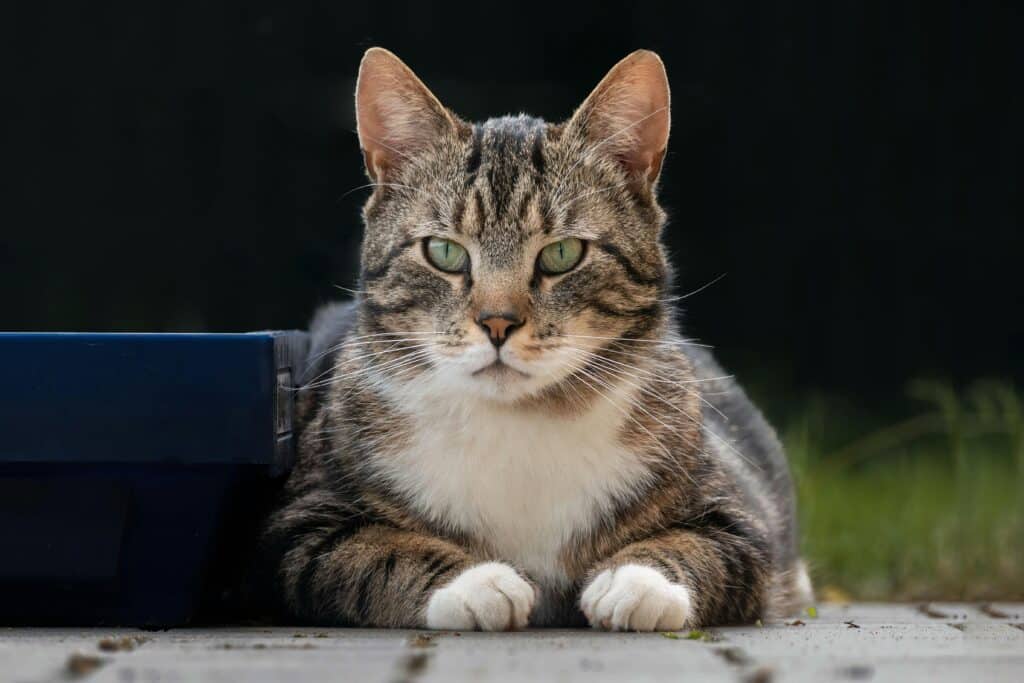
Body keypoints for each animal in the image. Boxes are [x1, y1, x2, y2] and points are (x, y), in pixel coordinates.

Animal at [264, 48, 815, 634]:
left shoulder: (741, 521)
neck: (521, 420)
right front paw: (474, 582)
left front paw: (638, 582)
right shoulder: (300, 522)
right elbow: (373, 551)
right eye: (444, 251)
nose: (497, 323)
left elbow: (699, 545)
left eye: (562, 254)